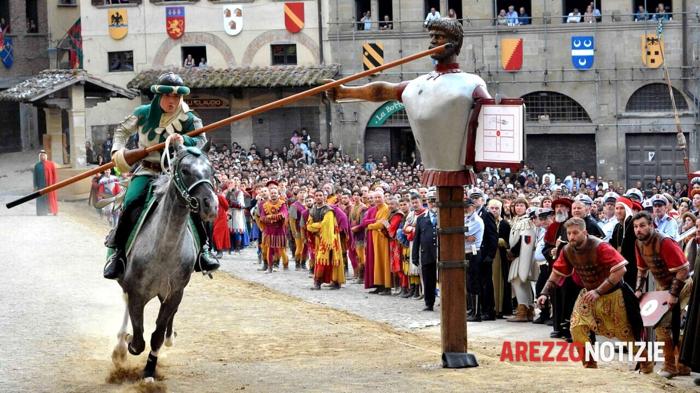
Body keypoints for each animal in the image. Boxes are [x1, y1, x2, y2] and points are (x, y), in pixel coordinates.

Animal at [109, 139, 217, 382]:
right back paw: (120, 344)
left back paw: (169, 337)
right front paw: (127, 344)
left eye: (211, 170)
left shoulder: (174, 292)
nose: (211, 205)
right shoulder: (136, 292)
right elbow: (138, 339)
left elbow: (156, 335)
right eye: (185, 170)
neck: (164, 249)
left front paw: (149, 371)